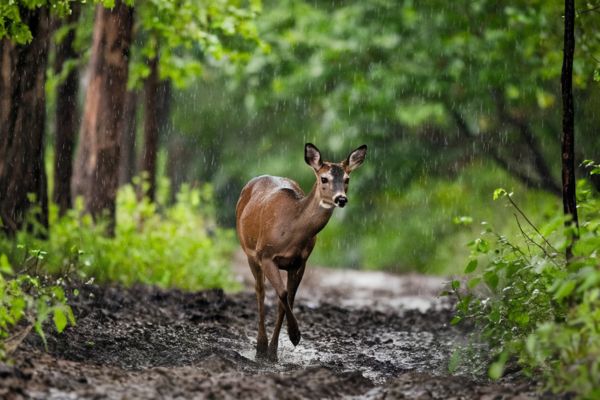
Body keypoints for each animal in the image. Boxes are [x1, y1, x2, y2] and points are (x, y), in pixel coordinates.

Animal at [234, 142, 366, 360]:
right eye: (324, 178)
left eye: (347, 179)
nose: (341, 199)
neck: (292, 229)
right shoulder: (266, 255)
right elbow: (281, 293)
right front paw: (294, 335)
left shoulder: (300, 262)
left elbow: (287, 298)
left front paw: (275, 351)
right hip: (249, 252)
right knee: (260, 291)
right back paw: (260, 347)